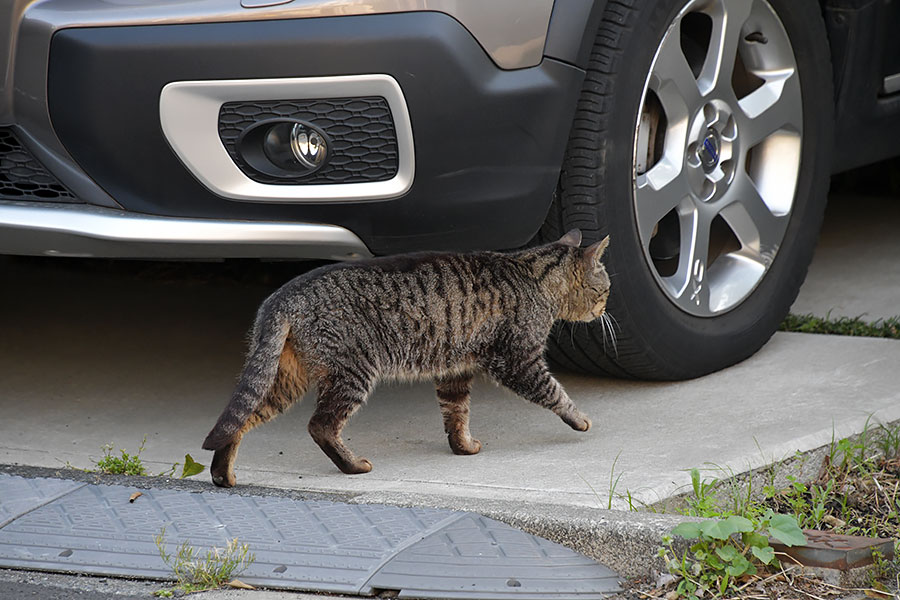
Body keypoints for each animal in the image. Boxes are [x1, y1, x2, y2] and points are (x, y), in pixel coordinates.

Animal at [204, 230, 612, 488]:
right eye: (605, 288)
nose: (606, 307)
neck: (532, 273)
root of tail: (282, 296)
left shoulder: (455, 371)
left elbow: (457, 415)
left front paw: (463, 446)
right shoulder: (519, 361)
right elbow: (554, 391)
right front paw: (580, 419)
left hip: (284, 379)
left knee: (238, 420)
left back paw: (223, 474)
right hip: (352, 372)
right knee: (320, 425)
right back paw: (353, 466)